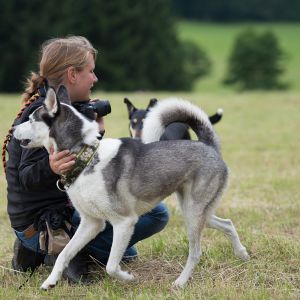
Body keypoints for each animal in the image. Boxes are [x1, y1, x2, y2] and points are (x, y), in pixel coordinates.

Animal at [13, 86, 248, 288]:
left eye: (32, 119)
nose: (13, 128)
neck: (87, 156)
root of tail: (208, 145)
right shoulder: (91, 223)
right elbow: (64, 254)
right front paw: (50, 281)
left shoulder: (124, 222)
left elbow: (111, 266)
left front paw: (128, 278)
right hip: (195, 211)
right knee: (227, 223)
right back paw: (242, 254)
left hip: (193, 213)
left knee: (196, 252)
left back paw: (180, 282)